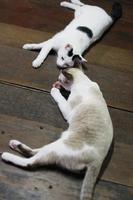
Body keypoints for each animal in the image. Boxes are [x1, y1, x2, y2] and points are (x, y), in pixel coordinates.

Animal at [1, 67, 112, 200]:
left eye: (60, 79)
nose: (56, 82)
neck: (84, 81)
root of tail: (97, 161)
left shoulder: (68, 111)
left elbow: (61, 99)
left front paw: (55, 90)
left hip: (57, 147)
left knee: (31, 162)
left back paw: (6, 155)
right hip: (58, 143)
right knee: (34, 152)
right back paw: (14, 143)